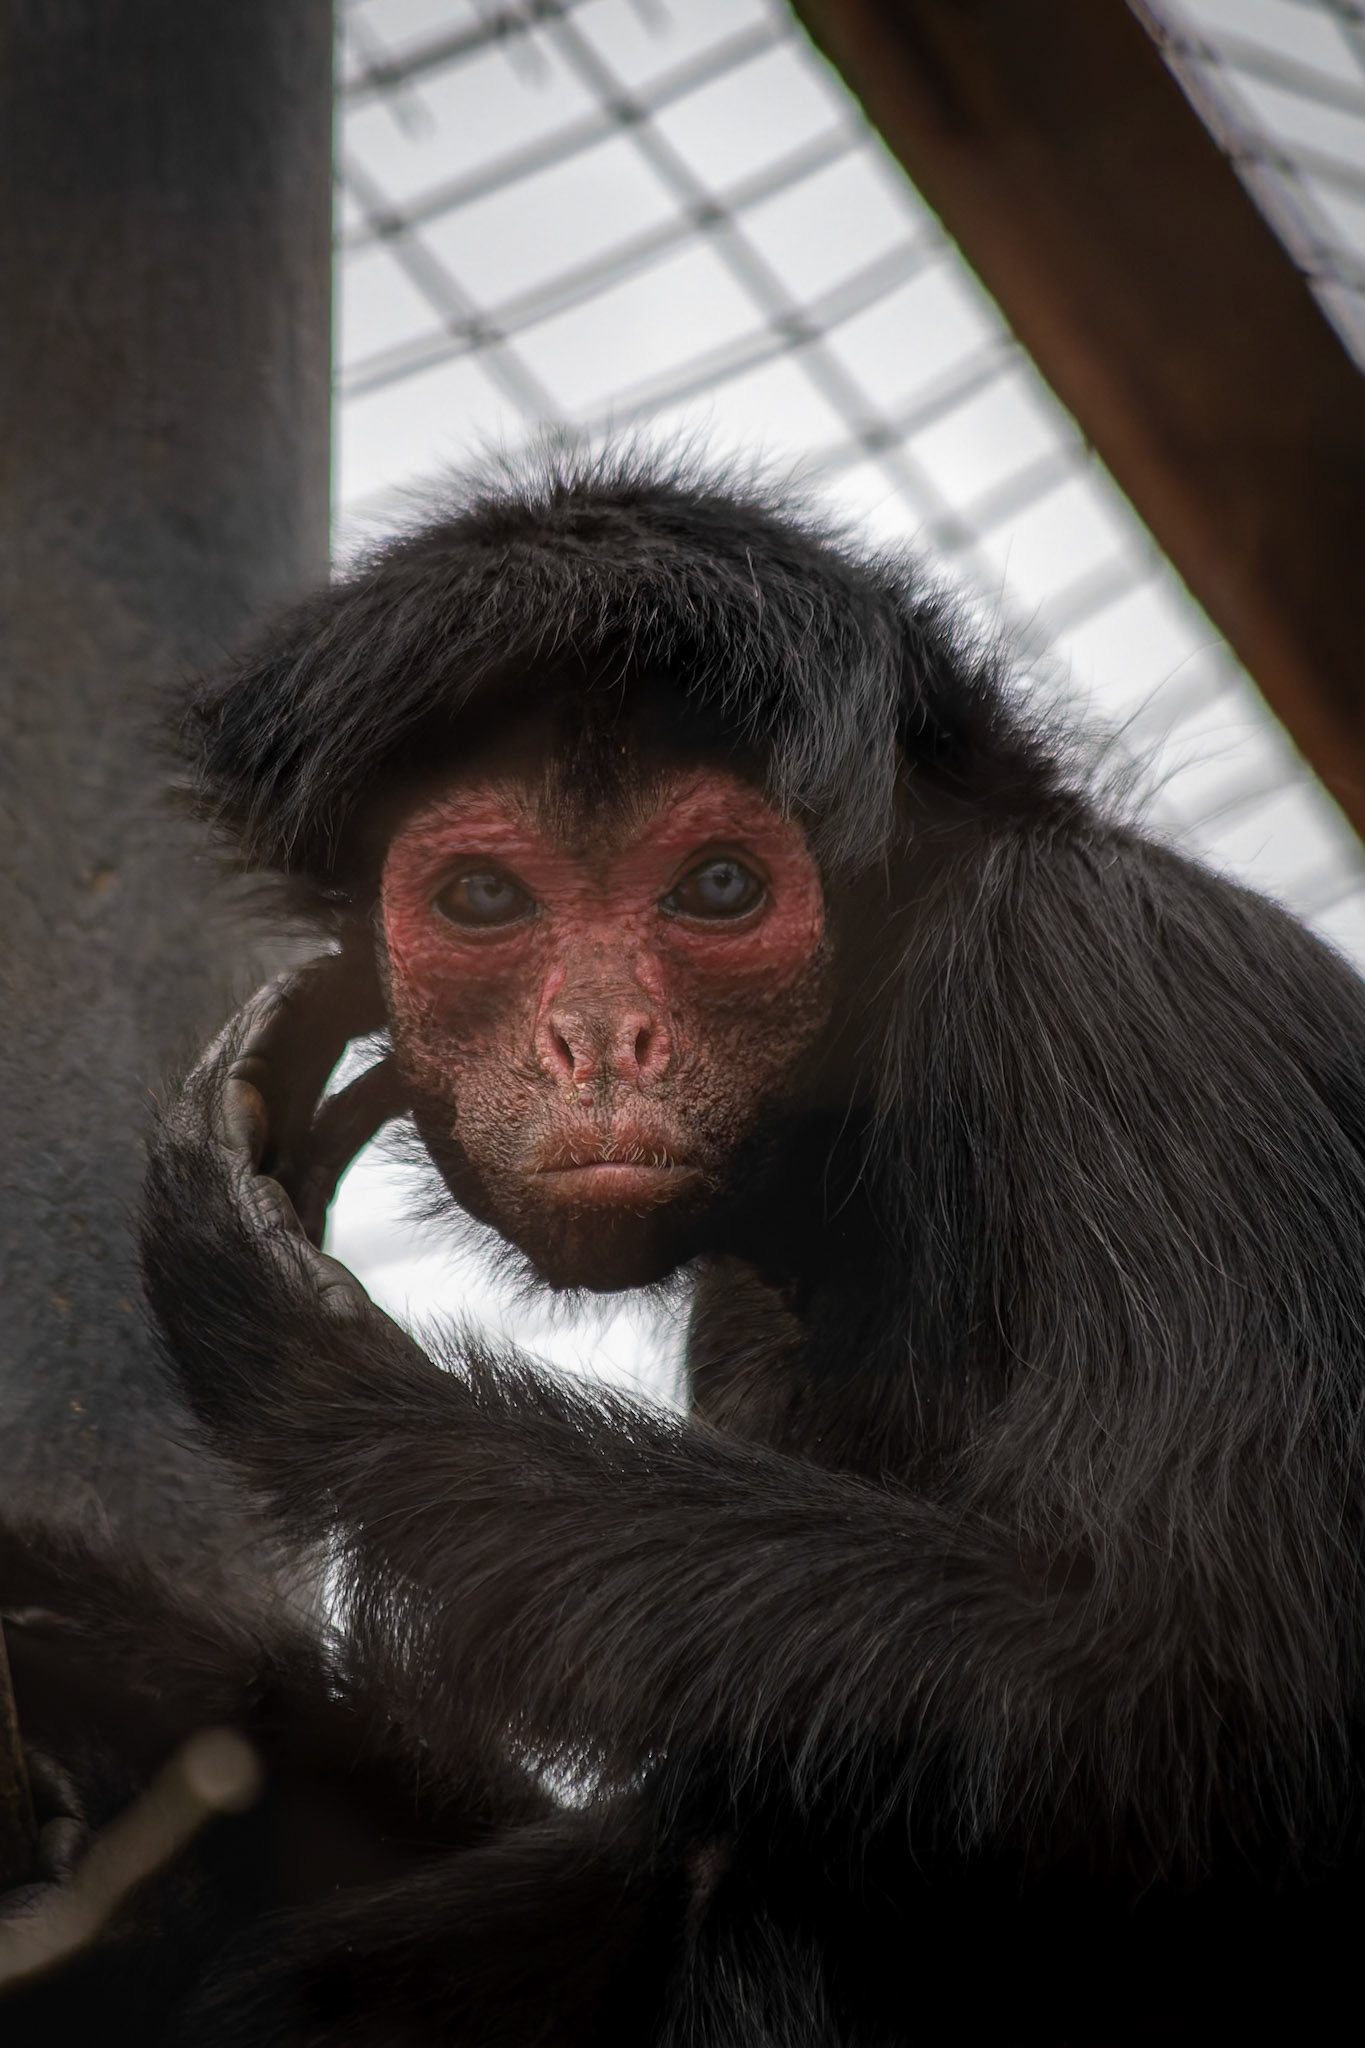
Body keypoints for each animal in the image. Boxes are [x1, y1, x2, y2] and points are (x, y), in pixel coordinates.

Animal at [11, 448, 1365, 2044]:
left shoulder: (1126, 984)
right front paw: (124, 1690)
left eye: (719, 888)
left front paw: (312, 1373)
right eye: (484, 900)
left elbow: (1183, 1698)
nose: (600, 1039)